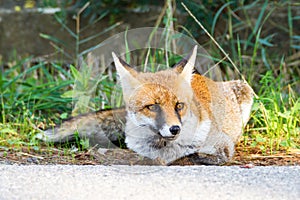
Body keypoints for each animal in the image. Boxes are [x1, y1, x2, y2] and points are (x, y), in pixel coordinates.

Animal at [38, 46, 253, 165]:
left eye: (179, 105)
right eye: (153, 107)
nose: (175, 129)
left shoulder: (221, 148)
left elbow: (189, 156)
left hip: (245, 90)